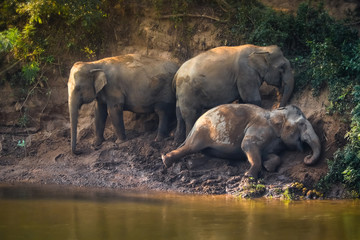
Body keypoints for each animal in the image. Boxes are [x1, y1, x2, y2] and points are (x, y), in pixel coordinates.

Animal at [162, 104, 320, 179]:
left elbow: (269, 155)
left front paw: (268, 167)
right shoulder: (259, 129)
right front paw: (248, 176)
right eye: (301, 124)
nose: (307, 156)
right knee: (191, 147)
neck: (275, 112)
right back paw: (166, 160)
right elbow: (247, 145)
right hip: (202, 131)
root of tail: (195, 124)